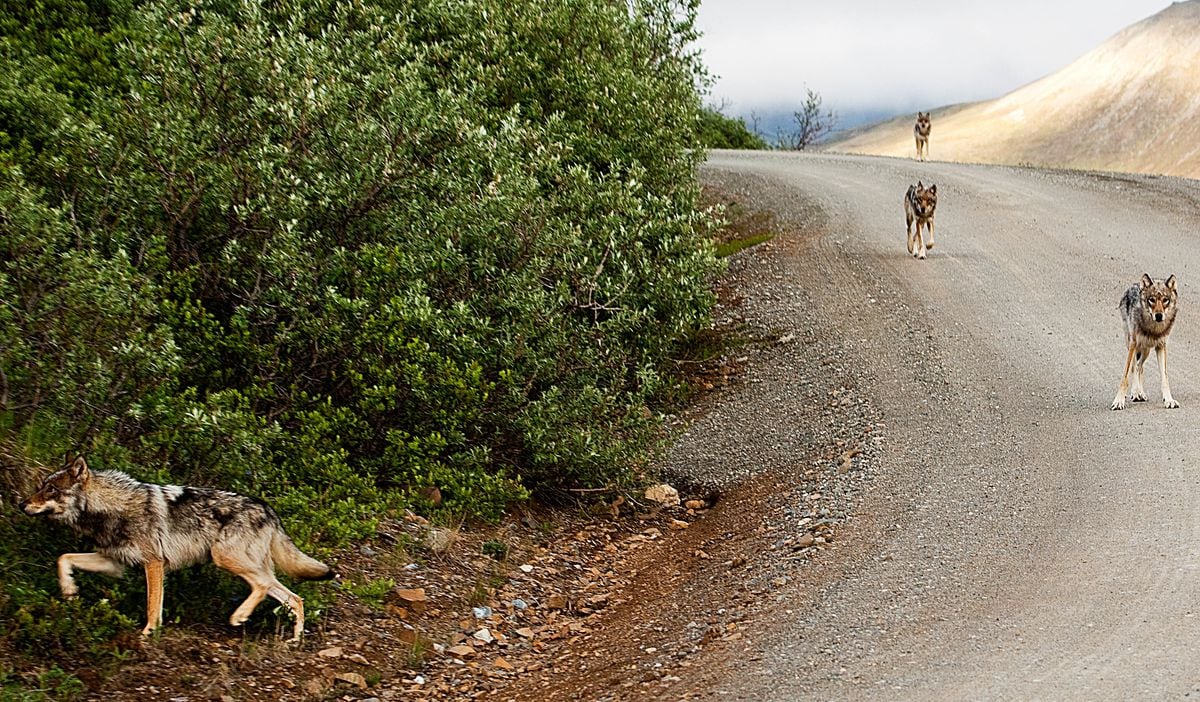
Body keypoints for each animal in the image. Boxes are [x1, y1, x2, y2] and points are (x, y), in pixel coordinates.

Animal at [22, 453, 333, 638]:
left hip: (224, 557)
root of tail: (269, 509)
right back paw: (293, 640)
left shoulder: (154, 563)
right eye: (41, 485)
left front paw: (148, 634)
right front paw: (69, 589)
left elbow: (152, 606)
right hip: (245, 564)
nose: (21, 504)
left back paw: (239, 617)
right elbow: (63, 557)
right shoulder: (113, 562)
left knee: (265, 586)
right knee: (294, 598)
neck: (110, 509)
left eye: (51, 489)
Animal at [1108, 271, 1176, 408]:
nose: (1159, 315)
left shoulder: (1161, 346)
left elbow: (1164, 377)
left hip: (1146, 350)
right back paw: (1135, 393)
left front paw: (1169, 400)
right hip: (1131, 343)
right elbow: (1125, 375)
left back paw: (1139, 393)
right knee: (1135, 367)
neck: (1153, 328)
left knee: (1140, 367)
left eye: (1165, 300)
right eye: (1152, 300)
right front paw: (1119, 400)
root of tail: (1135, 284)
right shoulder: (1133, 344)